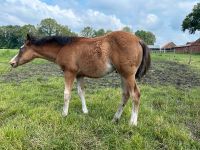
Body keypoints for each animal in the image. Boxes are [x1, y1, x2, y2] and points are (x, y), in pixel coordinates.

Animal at [9, 31, 150, 125]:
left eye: (21, 49)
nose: (11, 63)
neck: (63, 48)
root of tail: (138, 39)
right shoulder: (79, 75)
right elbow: (81, 92)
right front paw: (85, 111)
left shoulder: (69, 72)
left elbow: (67, 94)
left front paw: (64, 114)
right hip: (122, 75)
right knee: (125, 94)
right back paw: (115, 118)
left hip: (128, 75)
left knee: (135, 95)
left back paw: (132, 123)